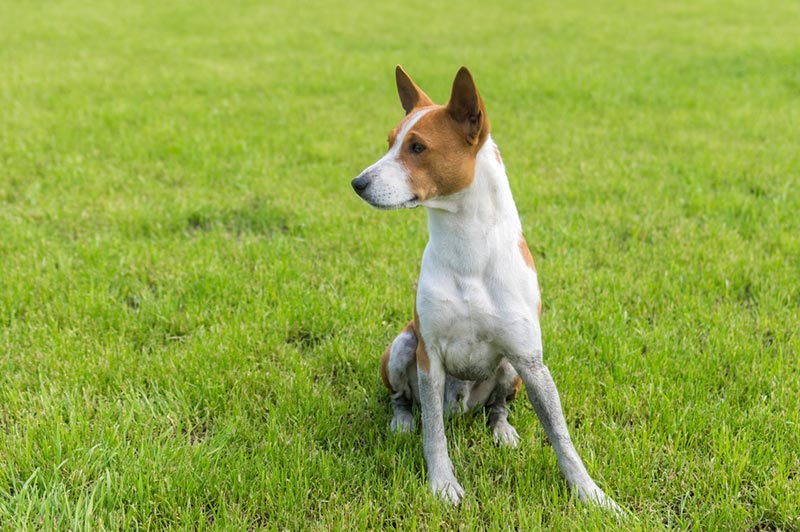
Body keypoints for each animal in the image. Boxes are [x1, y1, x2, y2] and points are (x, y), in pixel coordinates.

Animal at [350, 66, 620, 512]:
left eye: (418, 147)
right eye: (390, 143)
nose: (357, 182)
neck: (469, 251)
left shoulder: (531, 361)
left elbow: (561, 436)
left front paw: (591, 494)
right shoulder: (429, 356)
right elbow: (434, 434)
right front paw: (442, 484)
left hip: (510, 369)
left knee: (496, 407)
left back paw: (502, 431)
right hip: (402, 346)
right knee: (405, 400)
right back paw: (402, 421)